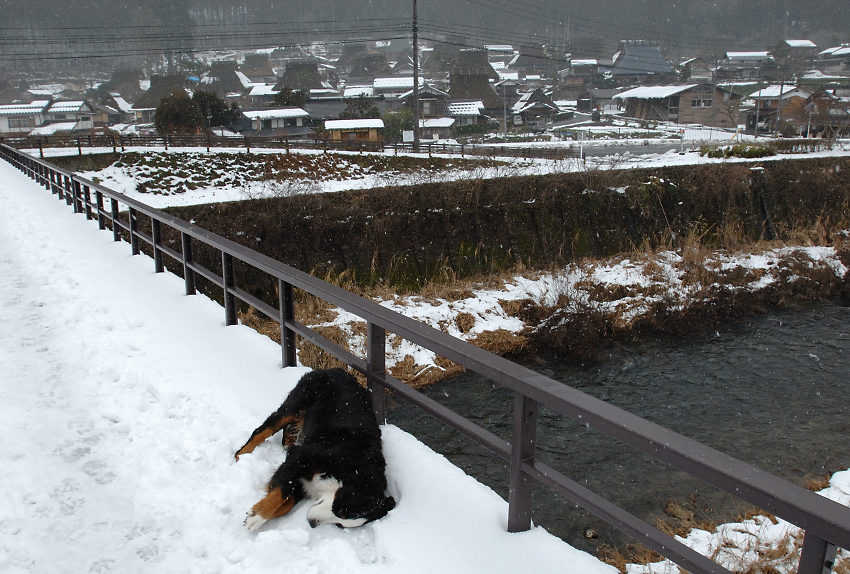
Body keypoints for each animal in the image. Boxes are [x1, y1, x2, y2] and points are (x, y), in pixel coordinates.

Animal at [230, 368, 392, 532]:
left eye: (339, 524)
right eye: (340, 509)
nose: (311, 523)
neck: (349, 465)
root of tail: (336, 369)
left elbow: (286, 503)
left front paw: (258, 515)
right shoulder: (303, 456)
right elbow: (282, 491)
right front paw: (257, 516)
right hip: (295, 406)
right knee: (263, 430)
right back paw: (242, 456)